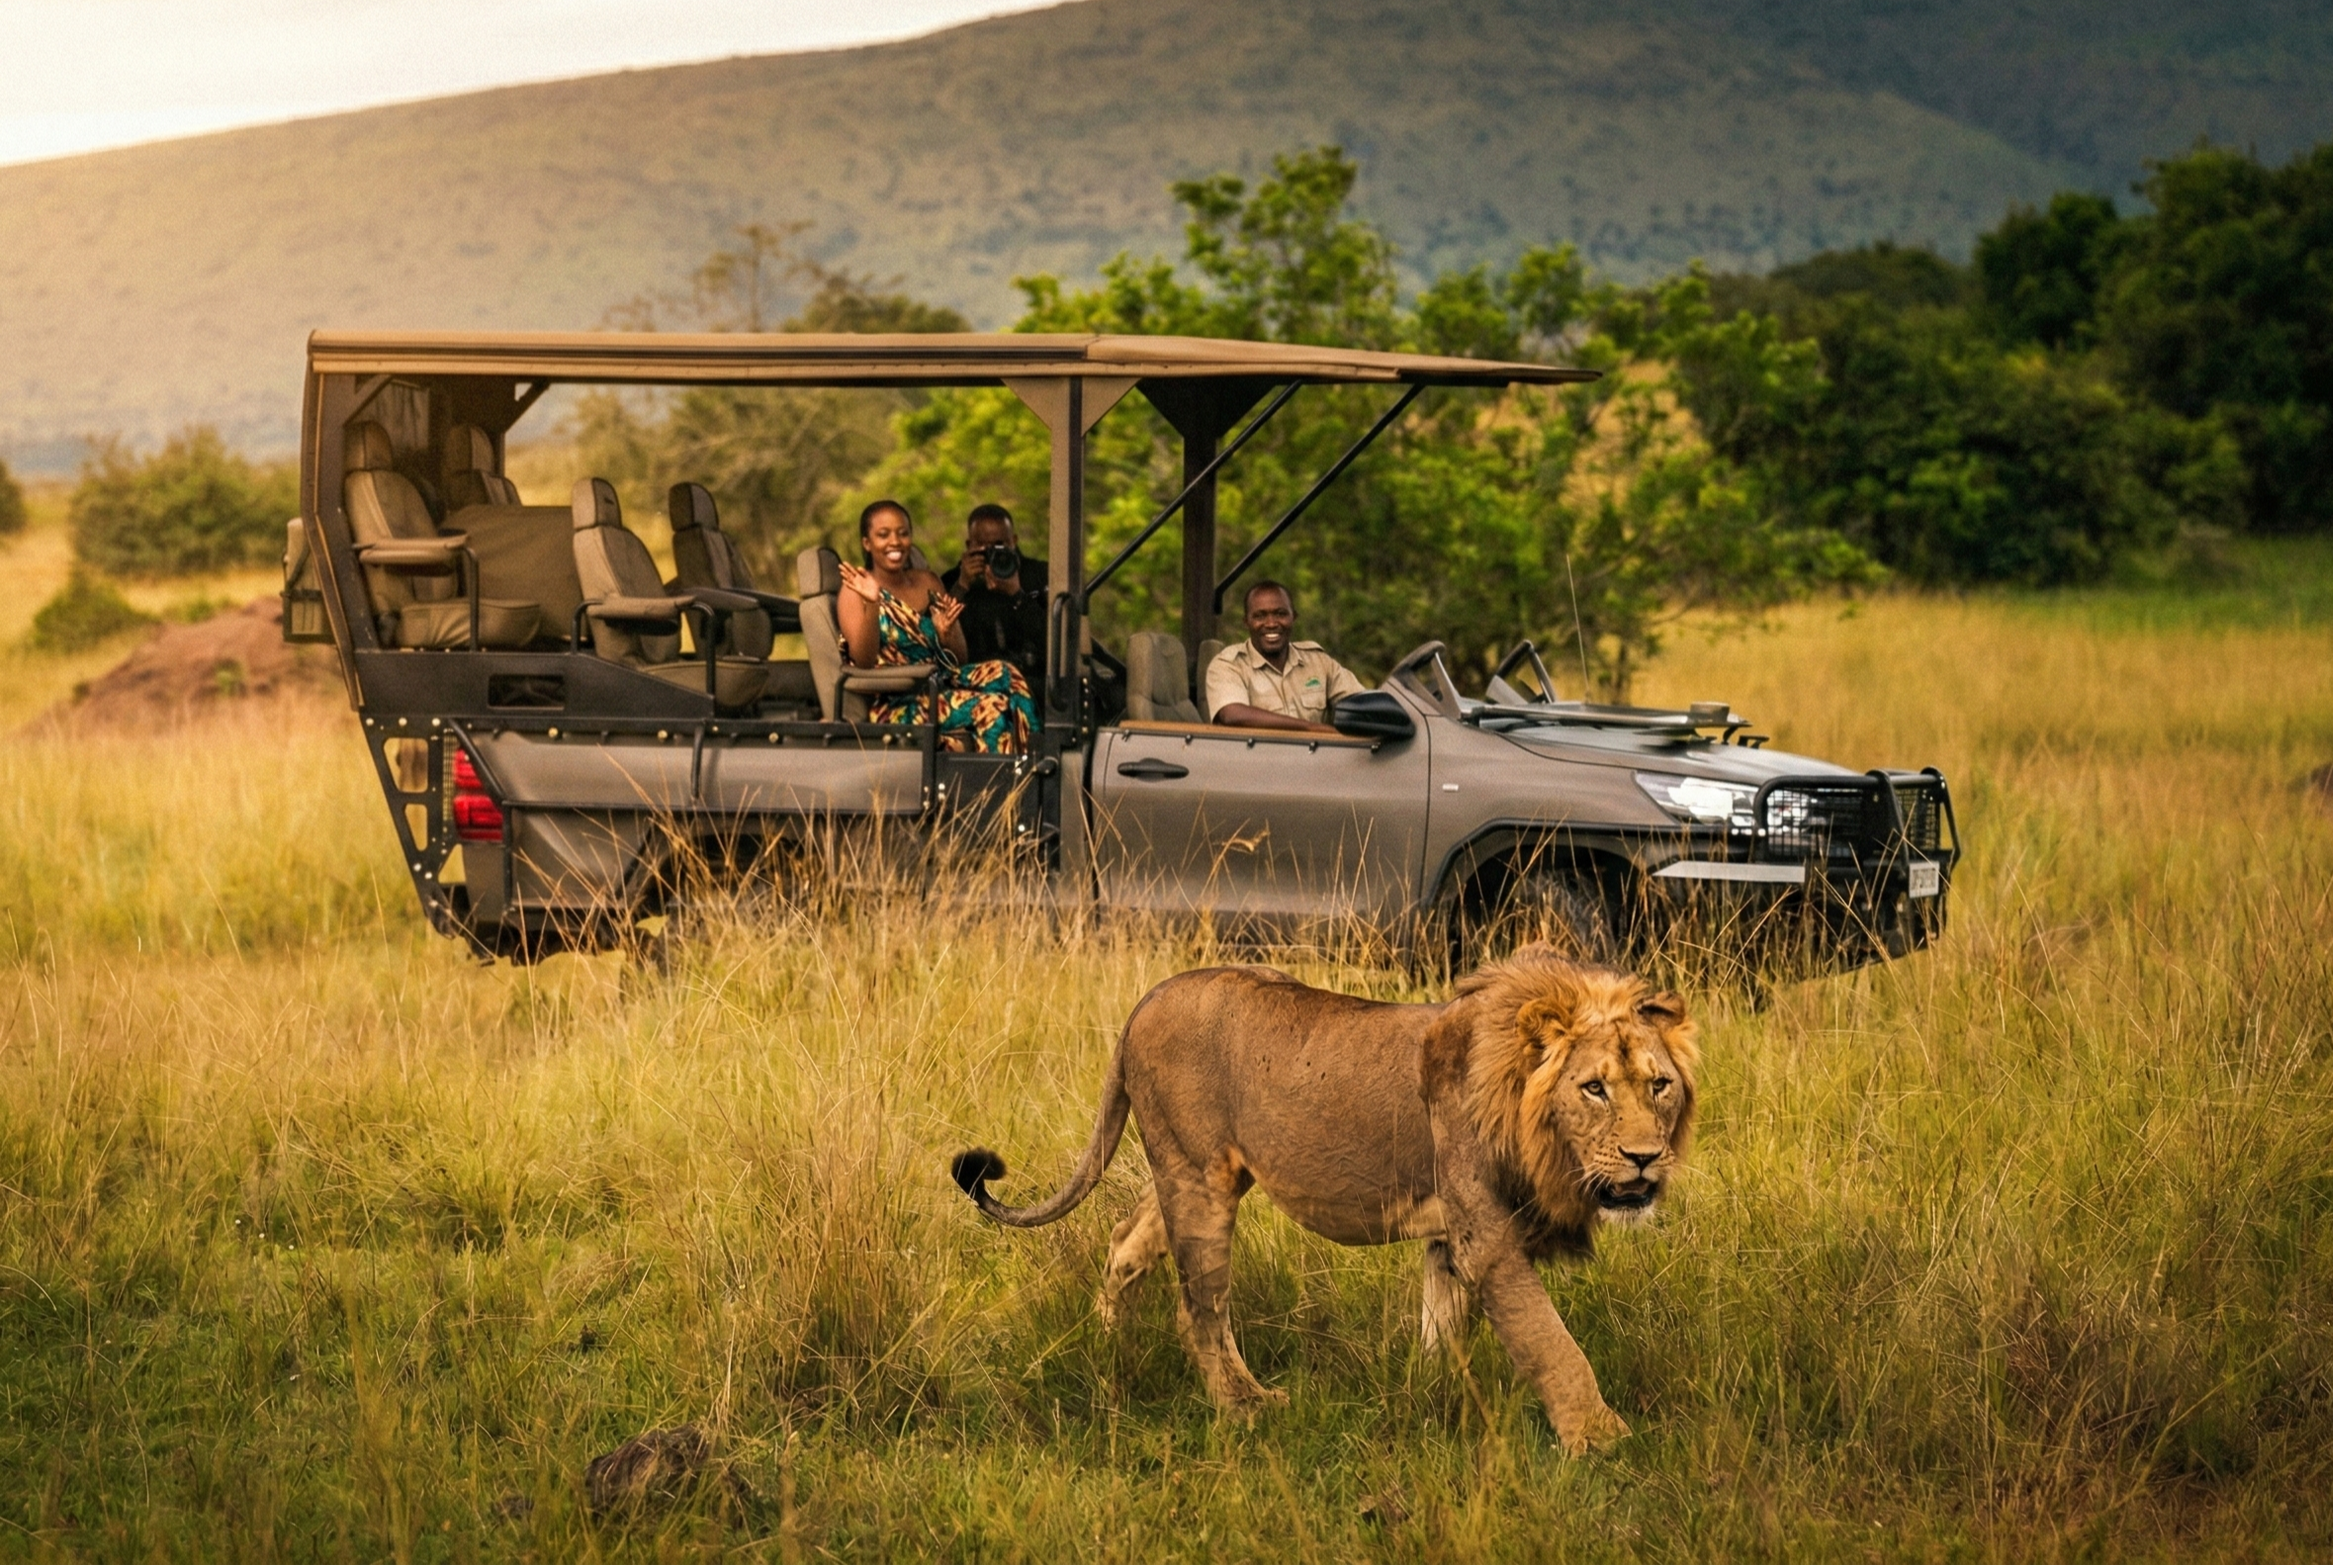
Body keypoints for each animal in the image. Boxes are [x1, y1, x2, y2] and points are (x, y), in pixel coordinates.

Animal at [949, 945, 1699, 1454]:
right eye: (1594, 1088)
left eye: (1658, 1084)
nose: (1644, 1157)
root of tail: (1148, 998)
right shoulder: (1487, 1236)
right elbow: (1549, 1341)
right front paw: (1599, 1436)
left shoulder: (1447, 1237)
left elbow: (1442, 1328)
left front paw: (1426, 1396)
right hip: (1197, 1178)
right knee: (1199, 1308)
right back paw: (1246, 1405)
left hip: (1191, 1173)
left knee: (1126, 1240)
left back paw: (1111, 1342)